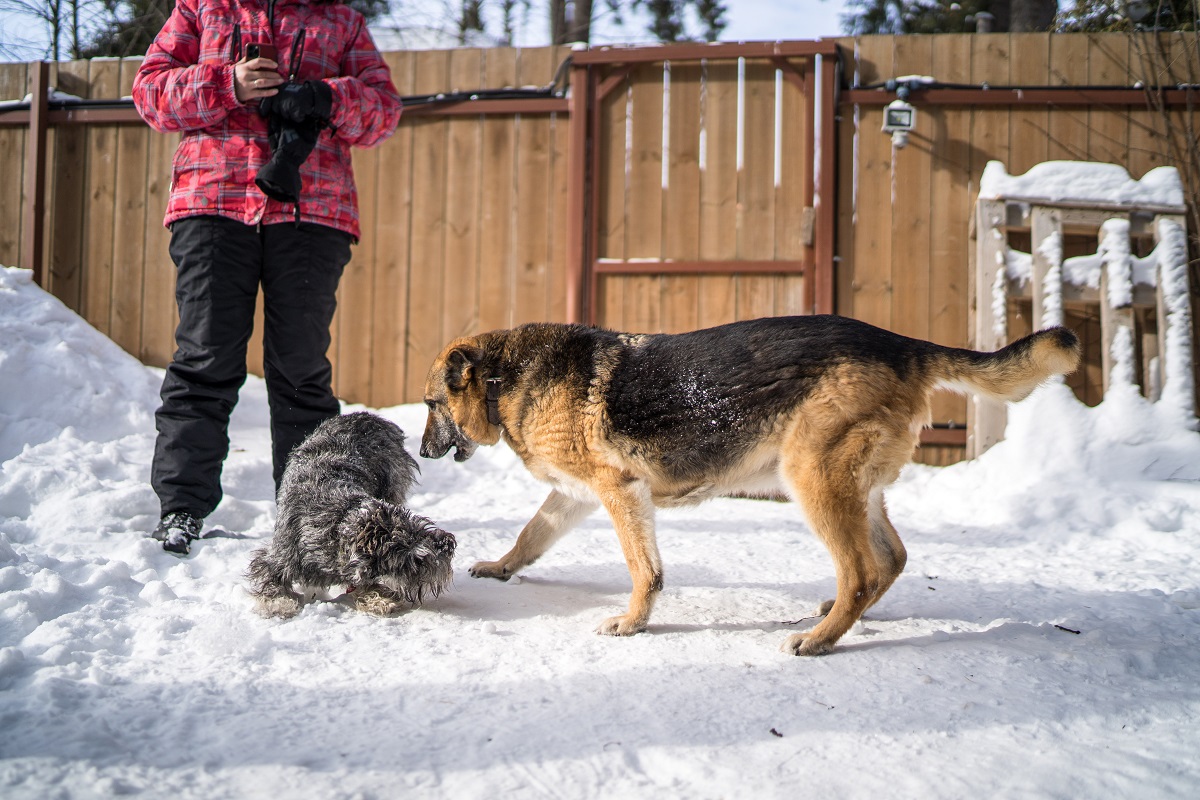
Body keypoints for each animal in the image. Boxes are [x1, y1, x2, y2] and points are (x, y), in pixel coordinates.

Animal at [246, 412, 456, 618]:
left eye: (420, 525)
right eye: (415, 559)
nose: (448, 543)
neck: (338, 523)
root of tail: (368, 416)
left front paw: (379, 600)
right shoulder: (279, 557)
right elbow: (268, 576)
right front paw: (278, 604)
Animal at [420, 316, 1080, 652]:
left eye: (430, 404)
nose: (422, 453)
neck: (505, 378)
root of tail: (902, 345)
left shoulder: (619, 491)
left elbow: (643, 569)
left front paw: (634, 623)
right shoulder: (574, 496)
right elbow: (530, 535)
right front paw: (500, 567)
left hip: (811, 480)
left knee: (861, 570)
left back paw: (819, 640)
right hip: (853, 489)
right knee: (888, 561)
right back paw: (842, 615)